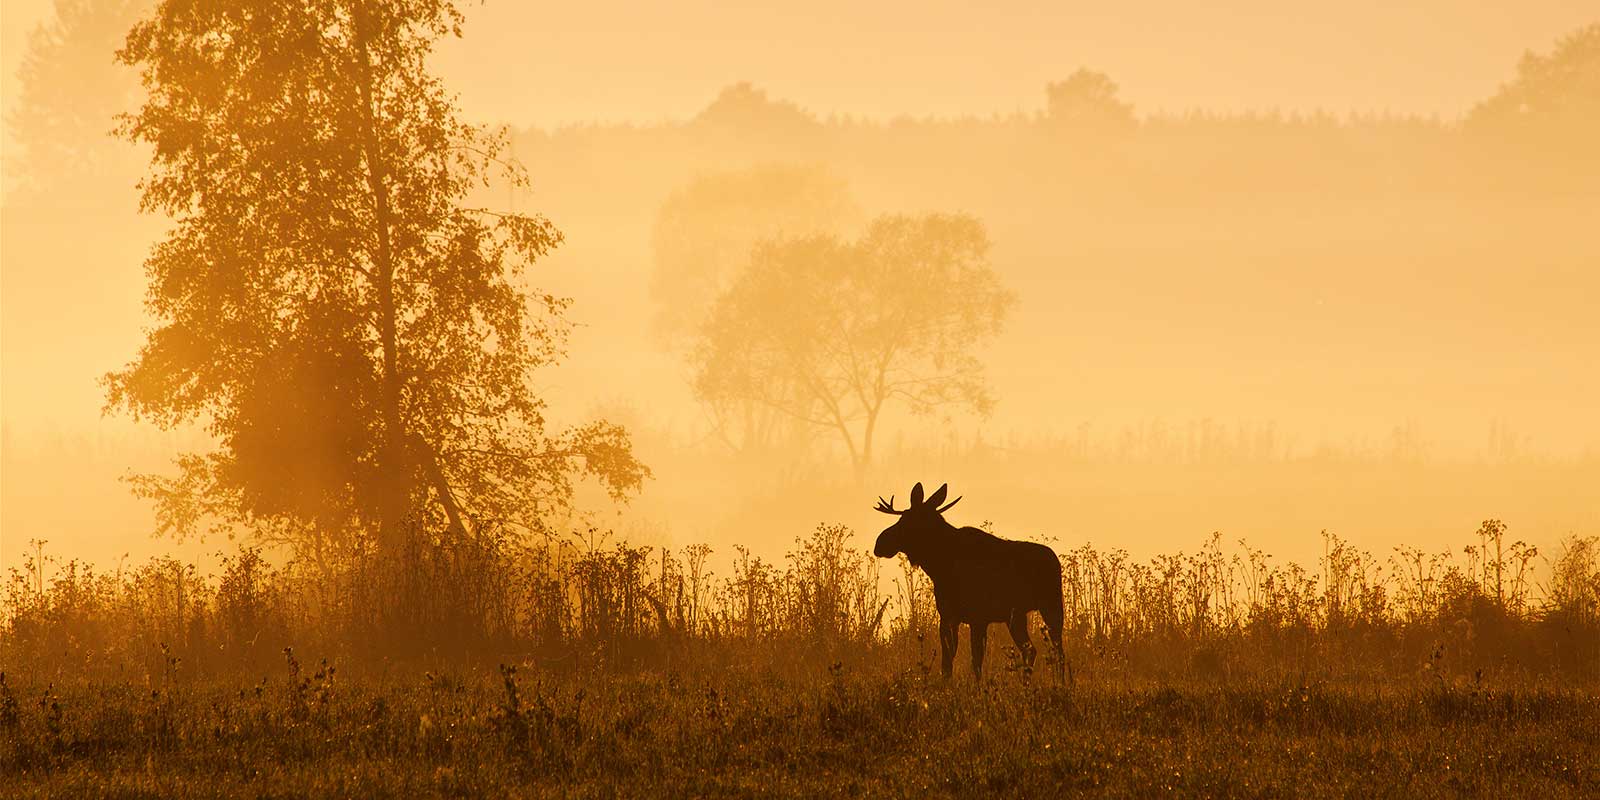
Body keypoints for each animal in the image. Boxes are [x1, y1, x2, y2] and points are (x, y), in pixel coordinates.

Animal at [874, 482, 1066, 682]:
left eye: (907, 520)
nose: (880, 543)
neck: (938, 566)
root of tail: (1055, 560)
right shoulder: (948, 616)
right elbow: (947, 662)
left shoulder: (978, 618)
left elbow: (976, 661)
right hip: (1016, 616)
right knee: (1030, 649)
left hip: (1051, 606)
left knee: (1058, 651)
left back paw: (1060, 683)